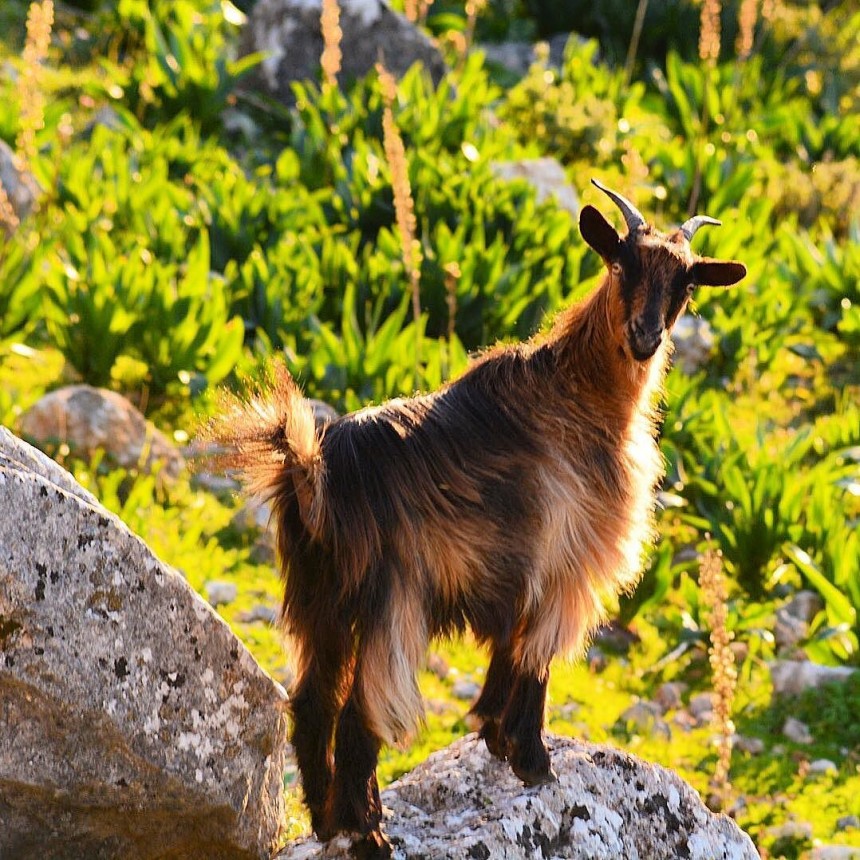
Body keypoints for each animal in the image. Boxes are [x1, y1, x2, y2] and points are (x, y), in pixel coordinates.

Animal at [207, 178, 744, 856]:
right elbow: (536, 660)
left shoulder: (521, 568)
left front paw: (491, 731)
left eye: (685, 284)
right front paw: (533, 760)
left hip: (319, 598)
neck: (583, 396)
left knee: (313, 702)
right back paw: (369, 831)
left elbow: (507, 652)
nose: (645, 336)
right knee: (360, 712)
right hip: (393, 601)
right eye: (621, 263)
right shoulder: (565, 565)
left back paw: (330, 821)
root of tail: (310, 473)